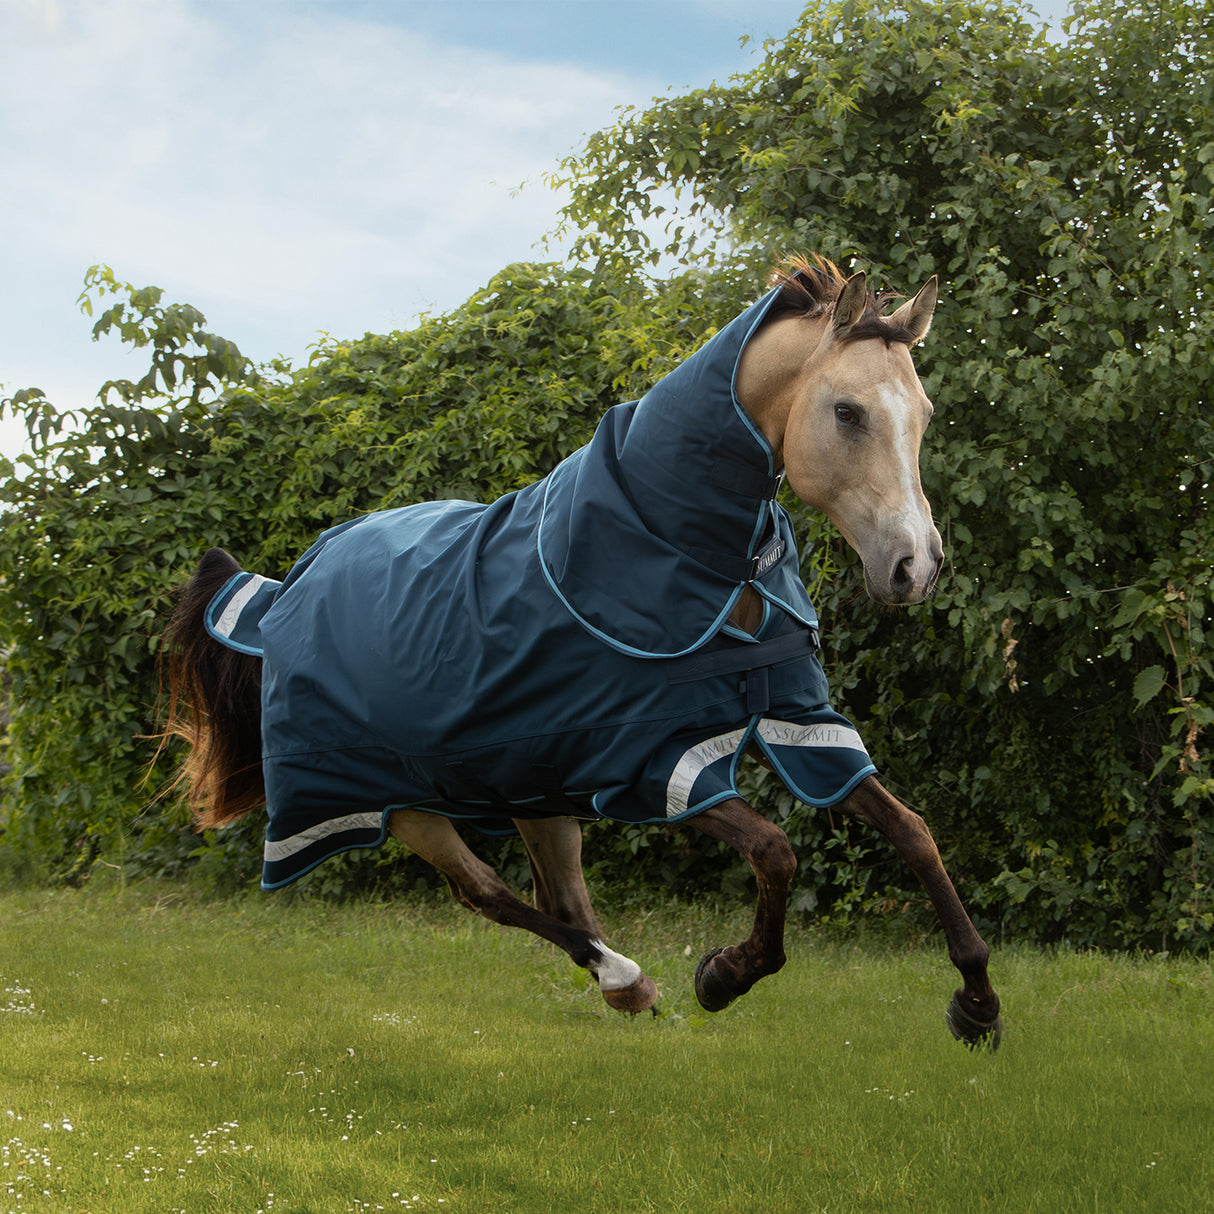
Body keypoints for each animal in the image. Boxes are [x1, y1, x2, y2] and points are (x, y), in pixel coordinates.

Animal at [166, 258, 1010, 1053]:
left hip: (532, 789)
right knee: (491, 896)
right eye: (846, 411)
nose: (916, 568)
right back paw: (625, 975)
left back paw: (626, 992)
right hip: (400, 804)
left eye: (925, 414)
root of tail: (284, 593)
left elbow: (913, 831)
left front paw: (977, 1002)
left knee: (560, 899)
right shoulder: (649, 763)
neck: (692, 553)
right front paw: (725, 974)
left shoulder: (802, 722)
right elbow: (776, 853)